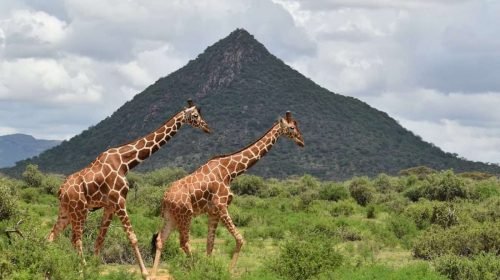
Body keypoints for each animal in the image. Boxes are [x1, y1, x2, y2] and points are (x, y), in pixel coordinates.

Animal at [47, 99, 211, 278]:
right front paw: (145, 274)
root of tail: (61, 190)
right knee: (76, 239)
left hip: (66, 211)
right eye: (195, 115)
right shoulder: (119, 201)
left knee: (52, 236)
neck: (125, 162)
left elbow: (100, 239)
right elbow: (132, 236)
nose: (207, 128)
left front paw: (95, 268)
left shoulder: (110, 206)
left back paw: (51, 268)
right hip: (79, 210)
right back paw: (81, 270)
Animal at [150, 111, 302, 276]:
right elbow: (240, 239)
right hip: (185, 215)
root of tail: (164, 198)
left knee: (160, 240)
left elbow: (210, 243)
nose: (301, 141)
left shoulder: (213, 211)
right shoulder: (221, 206)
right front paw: (225, 271)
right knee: (184, 242)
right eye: (292, 127)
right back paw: (196, 270)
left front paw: (210, 269)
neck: (230, 172)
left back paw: (152, 274)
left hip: (171, 216)